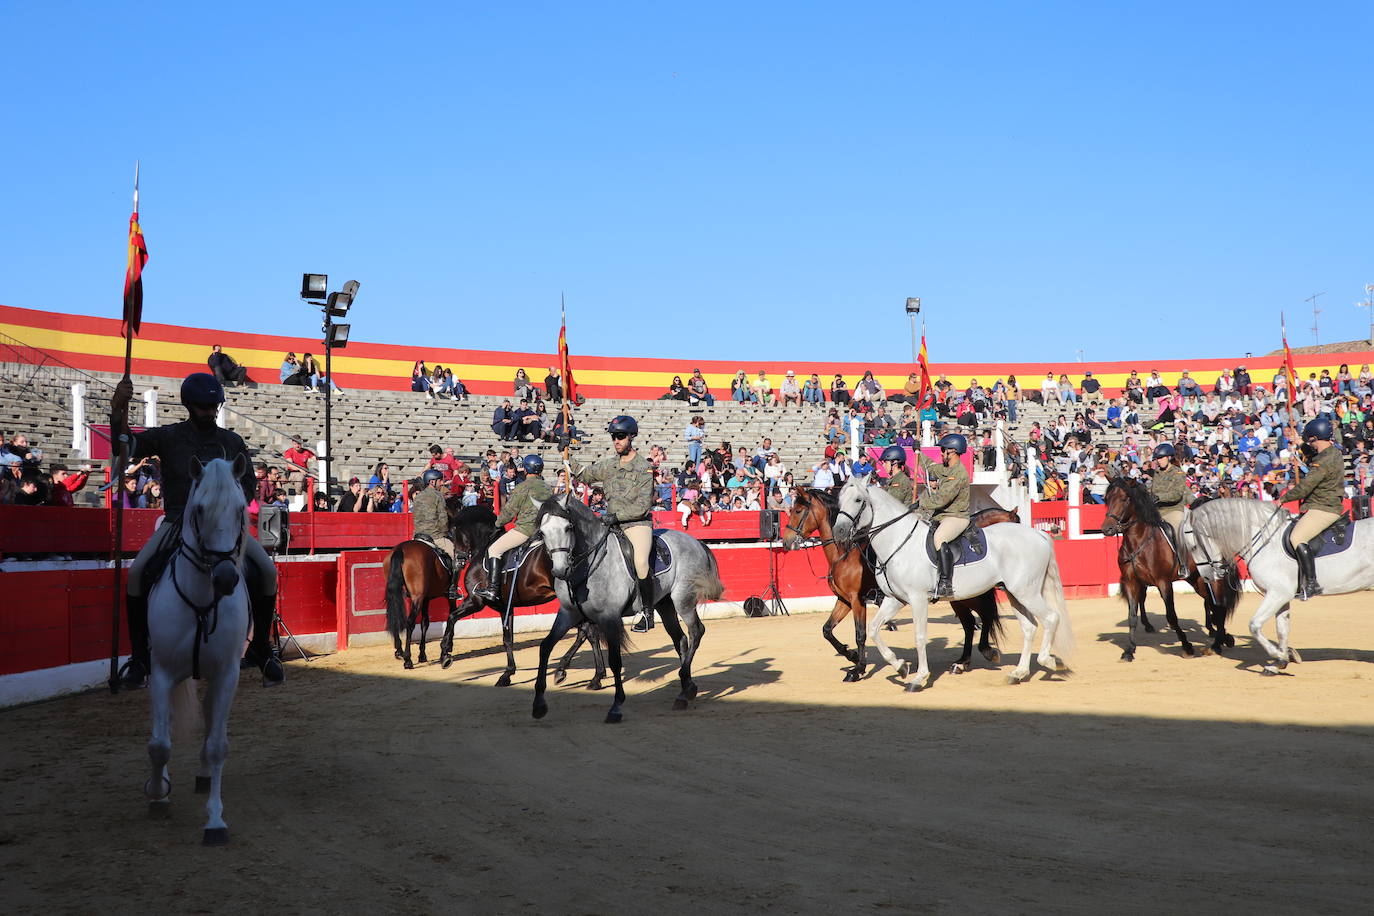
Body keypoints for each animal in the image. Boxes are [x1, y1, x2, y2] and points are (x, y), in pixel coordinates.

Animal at [144, 455, 252, 845]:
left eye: (240, 509)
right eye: (200, 509)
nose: (225, 579)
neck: (203, 601)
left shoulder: (226, 674)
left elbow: (218, 744)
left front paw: (215, 821)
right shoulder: (161, 672)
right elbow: (159, 743)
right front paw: (157, 795)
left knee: (207, 718)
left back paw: (205, 777)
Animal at [524, 494, 725, 725]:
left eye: (568, 528)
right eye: (542, 532)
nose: (559, 570)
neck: (589, 567)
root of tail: (695, 541)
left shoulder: (610, 618)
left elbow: (614, 660)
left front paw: (616, 707)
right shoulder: (568, 613)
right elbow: (545, 647)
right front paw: (539, 704)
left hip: (683, 599)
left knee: (696, 632)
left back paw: (685, 686)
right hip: (665, 605)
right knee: (680, 639)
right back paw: (686, 690)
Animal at [780, 486, 1016, 681]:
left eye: (798, 511)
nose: (786, 541)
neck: (844, 553)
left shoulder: (857, 600)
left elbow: (860, 634)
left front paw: (858, 668)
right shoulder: (844, 600)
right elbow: (827, 630)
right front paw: (852, 655)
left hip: (968, 595)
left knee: (982, 617)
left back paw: (983, 653)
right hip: (960, 597)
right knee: (970, 622)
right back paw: (962, 662)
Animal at [824, 477, 1071, 692]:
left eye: (858, 500)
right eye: (840, 500)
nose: (839, 532)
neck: (898, 542)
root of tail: (1039, 535)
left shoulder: (917, 599)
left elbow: (919, 636)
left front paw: (919, 678)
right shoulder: (895, 600)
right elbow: (873, 629)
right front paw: (900, 666)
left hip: (1025, 593)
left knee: (1049, 618)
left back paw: (1048, 661)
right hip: (1014, 594)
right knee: (1028, 627)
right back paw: (1018, 673)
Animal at [1093, 477, 1247, 661]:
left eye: (1124, 499)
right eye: (1107, 498)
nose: (1107, 528)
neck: (1140, 541)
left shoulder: (1163, 583)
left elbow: (1171, 617)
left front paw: (1187, 647)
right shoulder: (1131, 583)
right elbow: (1132, 616)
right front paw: (1129, 650)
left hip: (1213, 578)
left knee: (1219, 605)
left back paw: (1218, 642)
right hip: (1197, 581)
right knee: (1212, 604)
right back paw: (1223, 638)